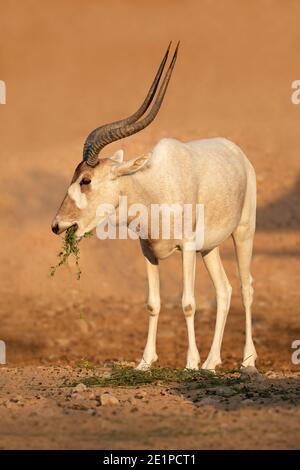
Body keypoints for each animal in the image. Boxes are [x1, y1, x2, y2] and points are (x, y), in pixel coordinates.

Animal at [52, 46, 258, 372]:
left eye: (85, 180)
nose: (58, 225)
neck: (151, 189)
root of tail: (236, 152)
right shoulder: (148, 251)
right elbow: (153, 303)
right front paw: (145, 362)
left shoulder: (186, 249)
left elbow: (188, 303)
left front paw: (190, 363)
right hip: (209, 249)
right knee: (224, 290)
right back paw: (211, 362)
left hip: (243, 232)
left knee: (246, 288)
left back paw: (247, 360)